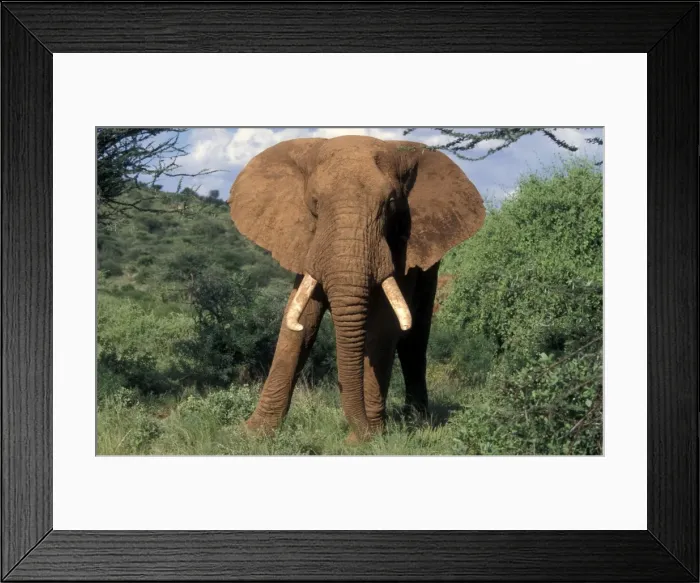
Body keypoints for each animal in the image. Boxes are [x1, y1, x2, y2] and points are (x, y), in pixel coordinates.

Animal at [227, 135, 485, 442]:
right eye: (314, 203)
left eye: (391, 203)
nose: (358, 432)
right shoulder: (308, 242)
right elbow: (300, 322)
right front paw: (252, 434)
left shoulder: (402, 246)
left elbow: (384, 327)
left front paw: (366, 439)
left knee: (415, 339)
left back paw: (418, 420)